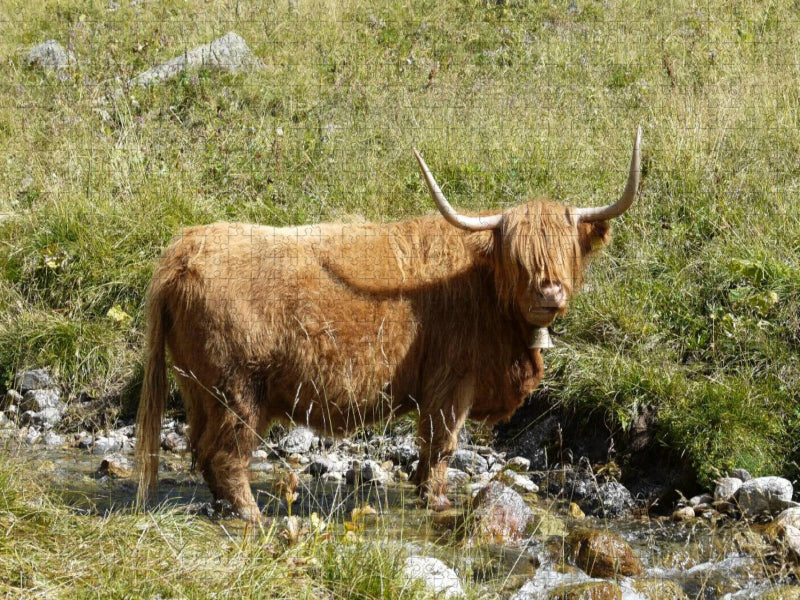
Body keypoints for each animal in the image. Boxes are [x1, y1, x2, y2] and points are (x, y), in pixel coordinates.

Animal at [135, 128, 642, 521]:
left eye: (565, 251)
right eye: (518, 258)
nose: (548, 293)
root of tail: (185, 248)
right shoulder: (450, 382)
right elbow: (440, 445)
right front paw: (437, 502)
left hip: (198, 388)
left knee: (202, 449)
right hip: (236, 390)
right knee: (226, 455)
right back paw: (252, 515)